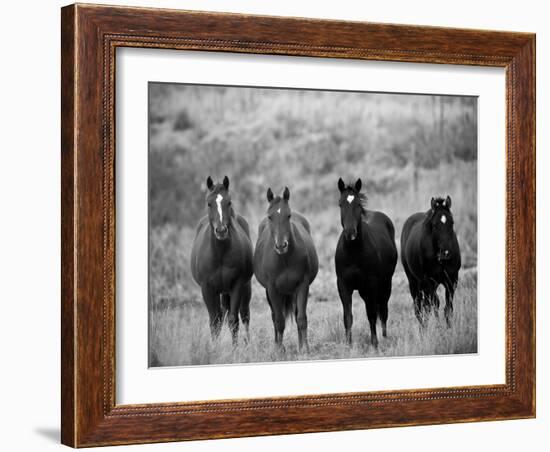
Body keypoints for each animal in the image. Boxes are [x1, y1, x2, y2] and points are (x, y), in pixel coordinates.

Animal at [191, 177, 256, 346]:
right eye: (209, 203)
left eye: (229, 202)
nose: (221, 231)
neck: (220, 254)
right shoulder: (207, 289)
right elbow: (215, 321)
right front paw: (215, 348)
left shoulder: (237, 285)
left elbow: (234, 321)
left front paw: (235, 349)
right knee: (221, 317)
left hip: (244, 287)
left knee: (244, 315)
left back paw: (248, 343)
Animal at [254, 185, 320, 352]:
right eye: (270, 216)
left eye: (288, 216)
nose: (281, 245)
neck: (284, 260)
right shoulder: (272, 289)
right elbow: (279, 321)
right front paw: (279, 350)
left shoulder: (302, 285)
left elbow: (301, 318)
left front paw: (305, 349)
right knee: (274, 317)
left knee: (296, 315)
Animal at [334, 177, 398, 346]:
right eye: (340, 204)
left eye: (358, 204)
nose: (350, 233)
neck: (353, 253)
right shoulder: (343, 286)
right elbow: (348, 317)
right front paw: (348, 345)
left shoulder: (371, 284)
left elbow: (372, 315)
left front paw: (374, 343)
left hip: (385, 284)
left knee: (383, 310)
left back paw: (384, 337)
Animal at [404, 196, 464, 326]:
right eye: (435, 225)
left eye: (452, 223)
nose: (446, 253)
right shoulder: (428, 281)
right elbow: (434, 304)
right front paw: (438, 327)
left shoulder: (452, 280)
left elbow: (448, 308)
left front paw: (449, 328)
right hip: (413, 282)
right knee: (419, 308)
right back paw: (423, 328)